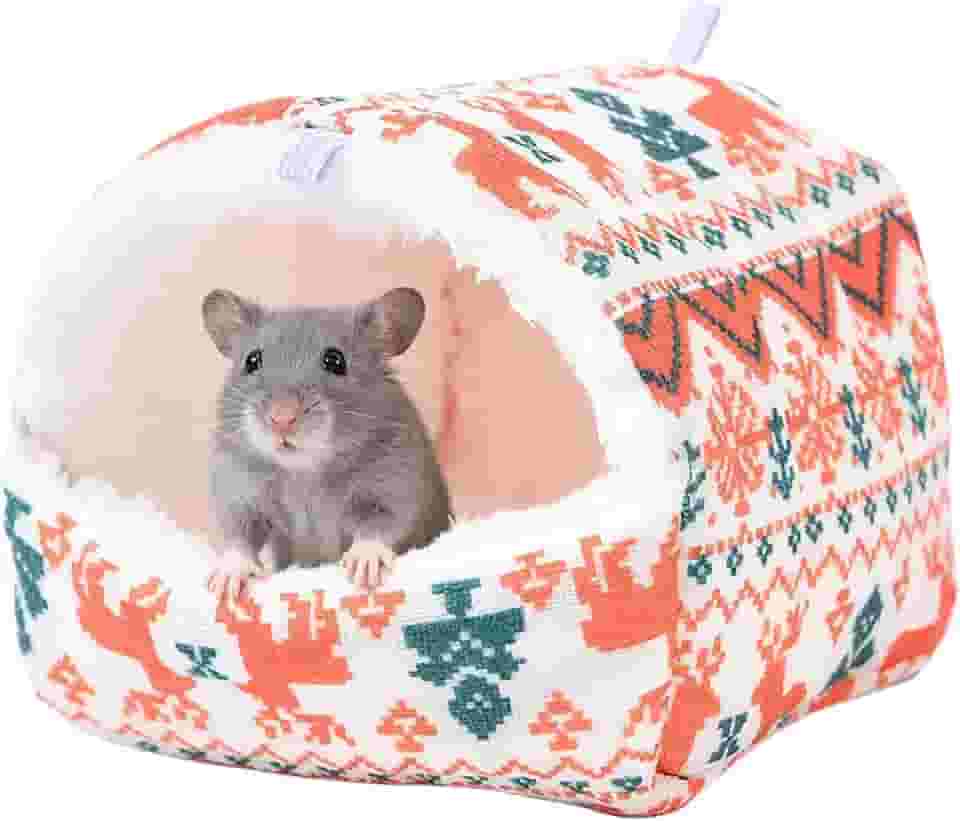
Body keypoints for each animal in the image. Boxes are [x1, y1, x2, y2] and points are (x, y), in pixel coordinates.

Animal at [202, 286, 452, 597]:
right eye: (252, 361)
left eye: (335, 360)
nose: (281, 419)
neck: (304, 470)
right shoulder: (238, 495)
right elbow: (238, 538)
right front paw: (226, 583)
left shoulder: (393, 493)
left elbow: (377, 528)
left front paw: (363, 570)